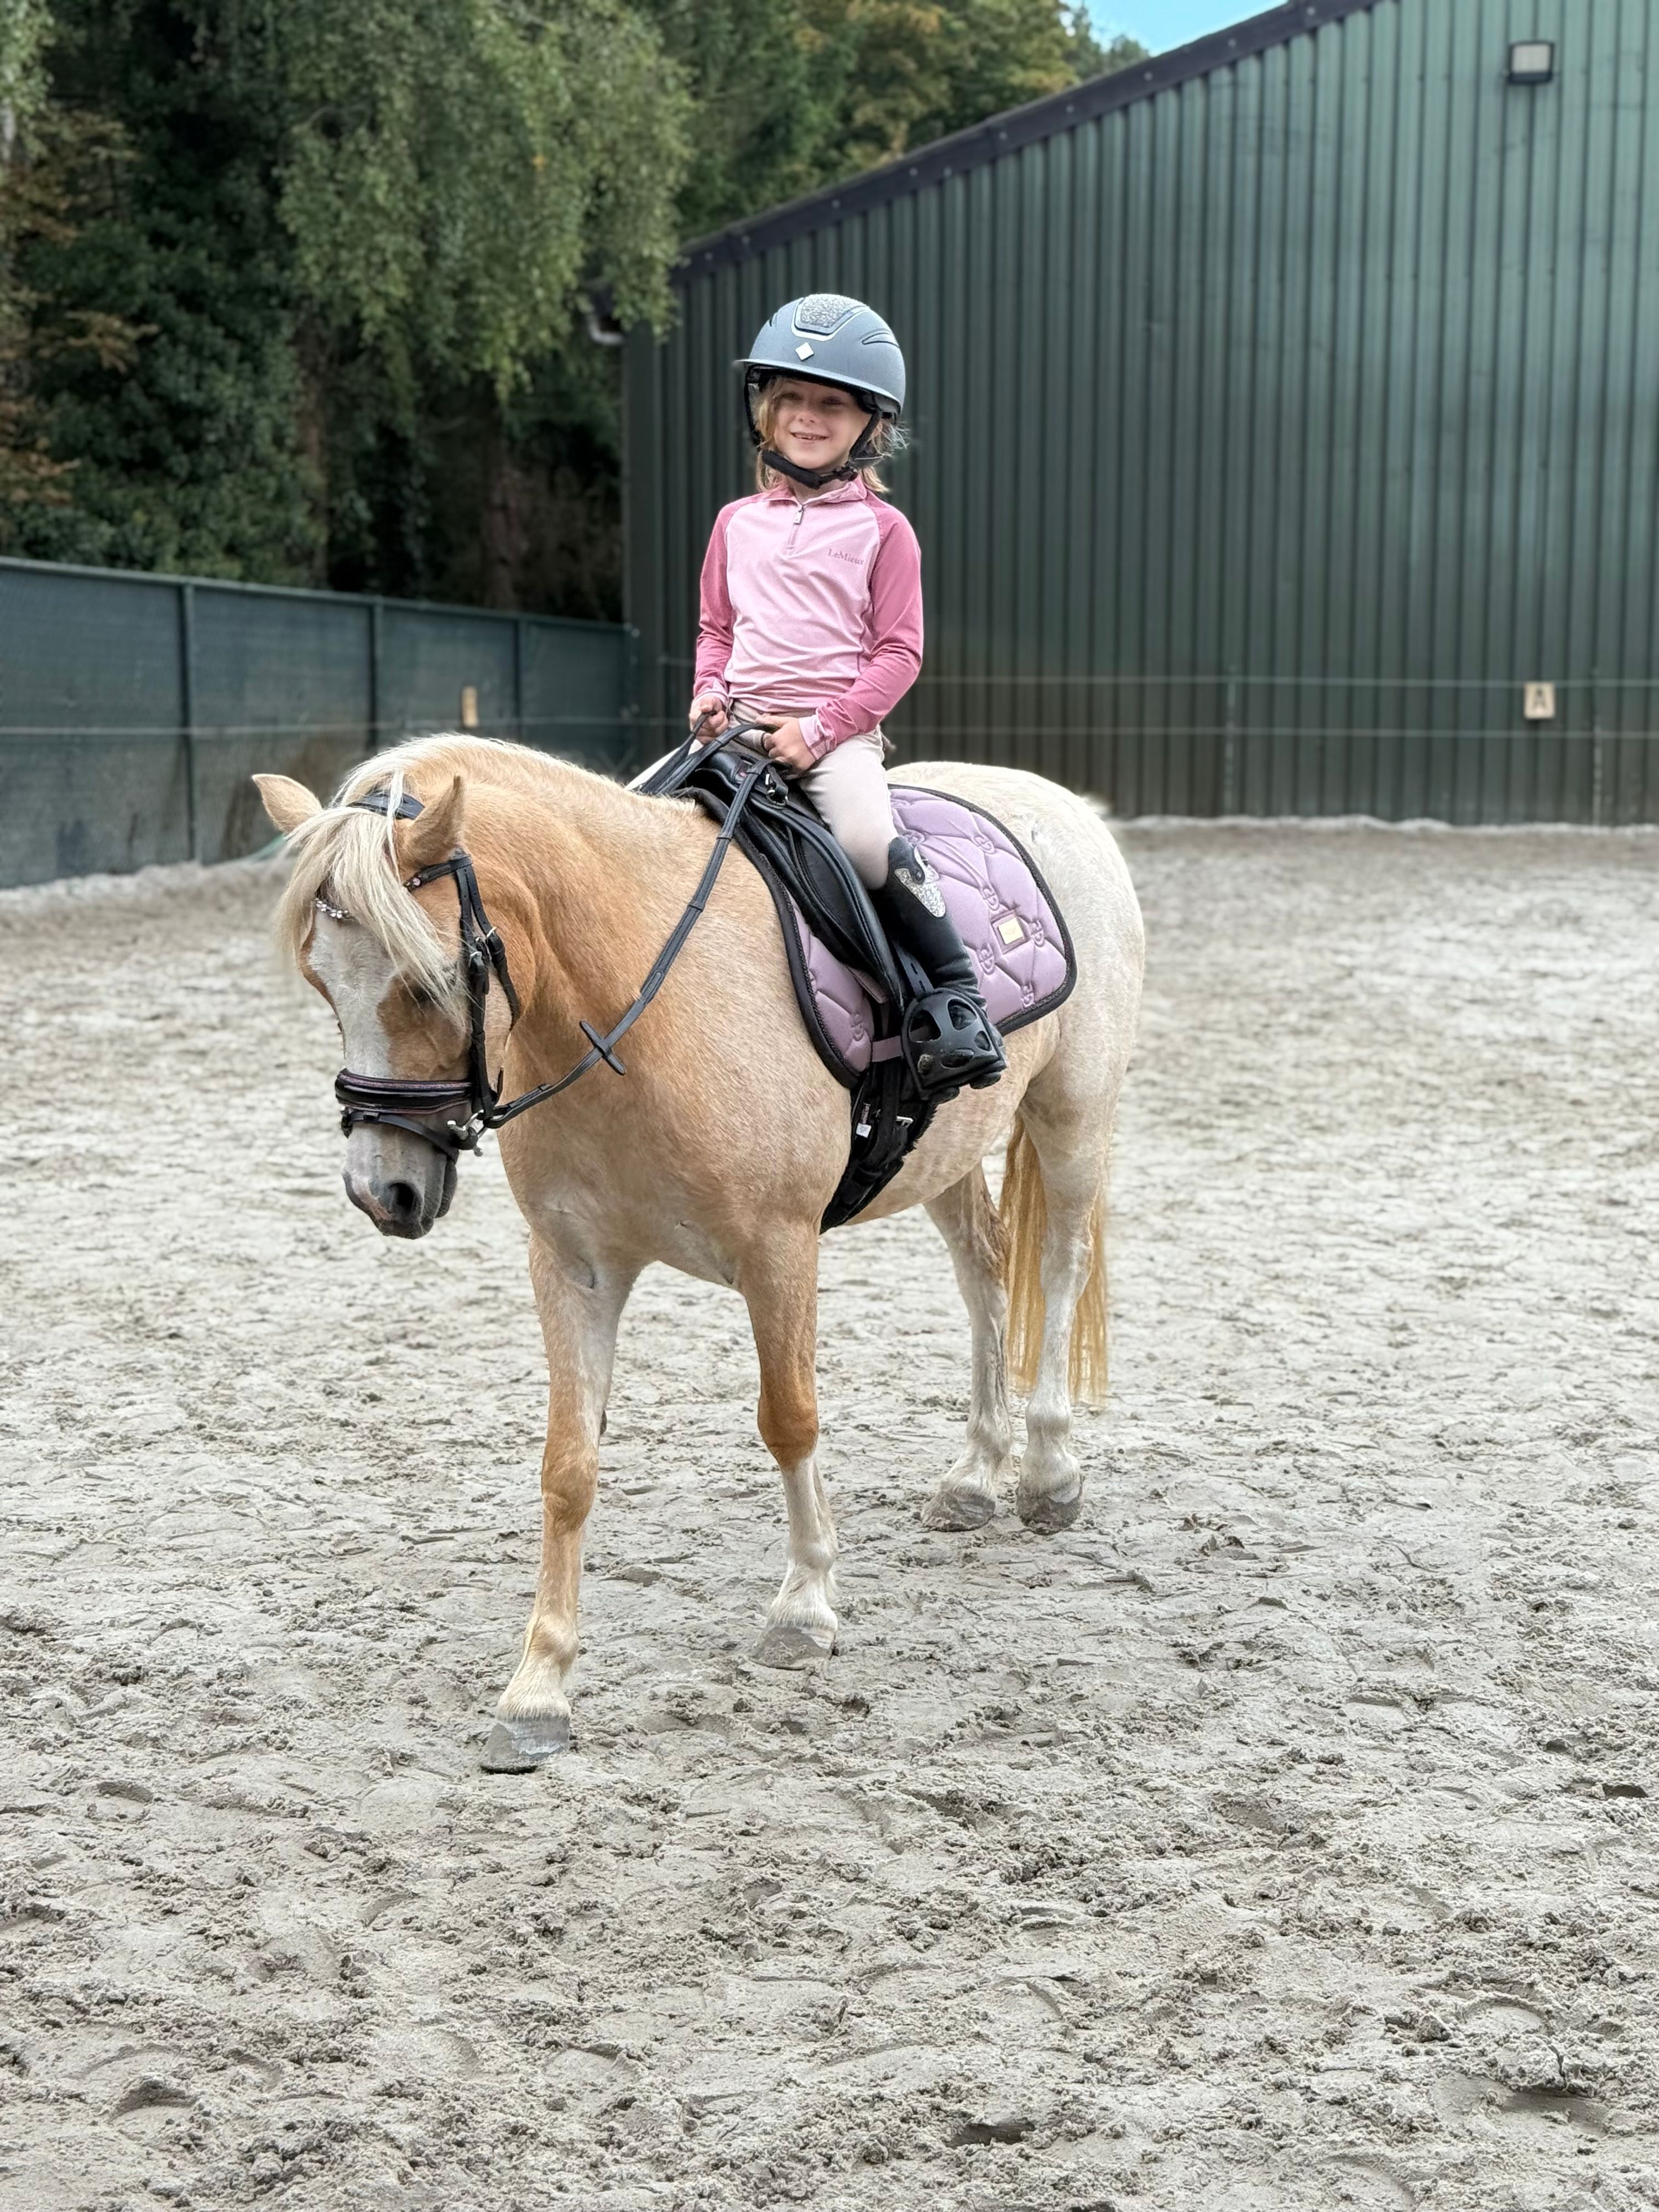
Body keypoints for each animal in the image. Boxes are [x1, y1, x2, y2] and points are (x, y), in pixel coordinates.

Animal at [254, 735, 1143, 1770]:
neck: (633, 1003)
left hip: (1074, 1116)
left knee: (1059, 1268)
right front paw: (537, 1690)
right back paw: (975, 1476)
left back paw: (1047, 1473)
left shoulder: (779, 1251)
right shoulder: (572, 1267)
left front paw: (804, 1608)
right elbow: (568, 1464)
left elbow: (790, 1419)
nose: (382, 1193)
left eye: (433, 980)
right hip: (950, 1153)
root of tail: (1055, 800)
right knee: (986, 1277)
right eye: (323, 982)